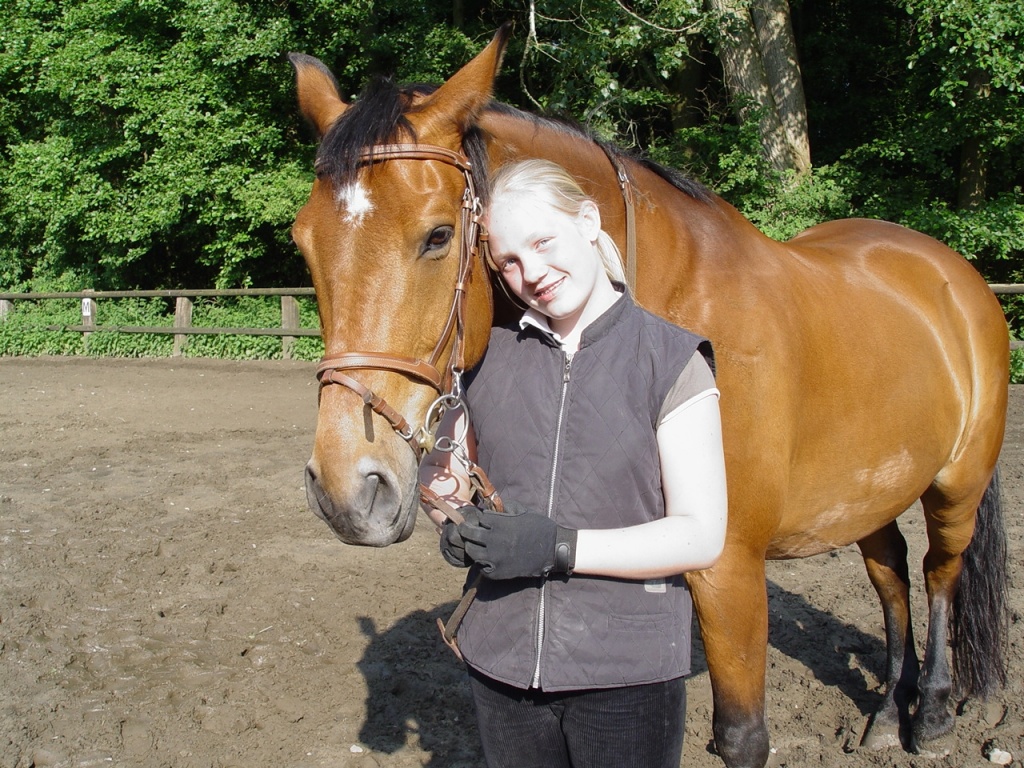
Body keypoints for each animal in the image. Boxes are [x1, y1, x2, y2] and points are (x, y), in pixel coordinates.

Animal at [289, 26, 1009, 768]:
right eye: (304, 244)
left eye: (436, 235)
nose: (346, 492)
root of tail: (953, 273)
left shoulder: (729, 567)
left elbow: (742, 736)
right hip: (871, 491)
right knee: (891, 575)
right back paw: (891, 713)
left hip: (956, 485)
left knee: (939, 572)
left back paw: (935, 714)